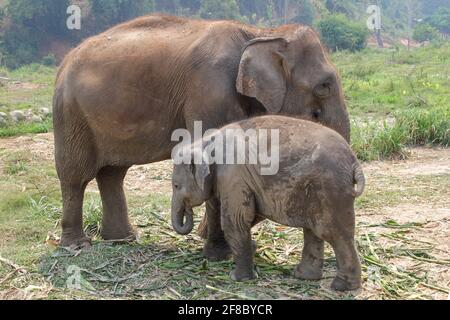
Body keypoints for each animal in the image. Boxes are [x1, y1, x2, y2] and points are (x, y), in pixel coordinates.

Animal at [53, 15, 352, 258]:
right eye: (324, 86)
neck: (261, 33)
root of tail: (64, 62)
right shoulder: (211, 91)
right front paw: (221, 252)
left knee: (112, 173)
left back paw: (123, 239)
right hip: (71, 115)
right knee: (75, 175)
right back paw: (78, 245)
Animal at [171, 116, 364, 292]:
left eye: (176, 186)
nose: (188, 210)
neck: (204, 143)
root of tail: (354, 162)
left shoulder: (233, 177)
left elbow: (237, 221)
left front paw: (238, 278)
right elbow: (249, 215)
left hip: (330, 191)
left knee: (333, 233)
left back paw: (341, 287)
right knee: (313, 230)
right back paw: (304, 276)